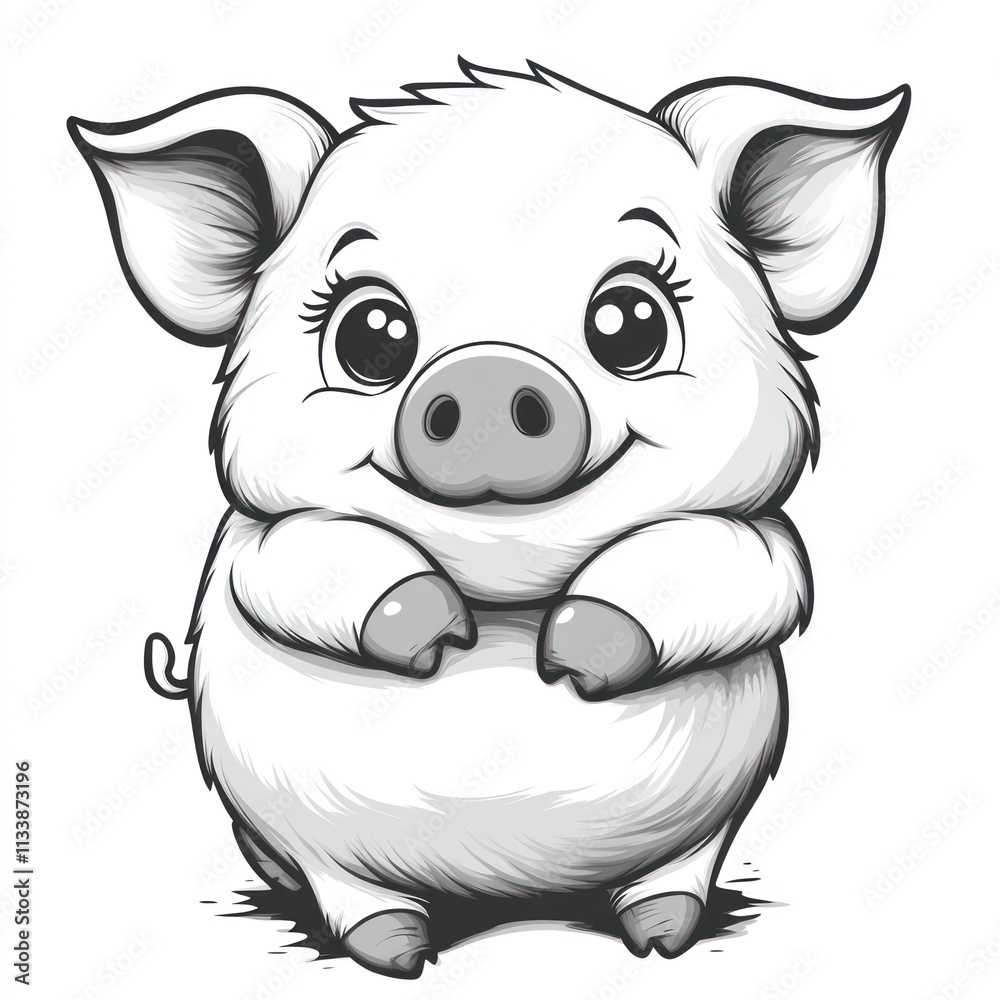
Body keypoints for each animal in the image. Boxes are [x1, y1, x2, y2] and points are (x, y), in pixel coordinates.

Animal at [70, 60, 908, 977]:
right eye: (371, 333)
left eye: (630, 321)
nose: (486, 376)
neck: (509, 588)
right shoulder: (258, 541)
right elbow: (305, 562)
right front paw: (440, 637)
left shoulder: (762, 538)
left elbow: (736, 572)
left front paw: (568, 658)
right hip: (311, 836)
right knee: (350, 894)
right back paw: (397, 954)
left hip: (704, 827)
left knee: (676, 873)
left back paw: (661, 936)